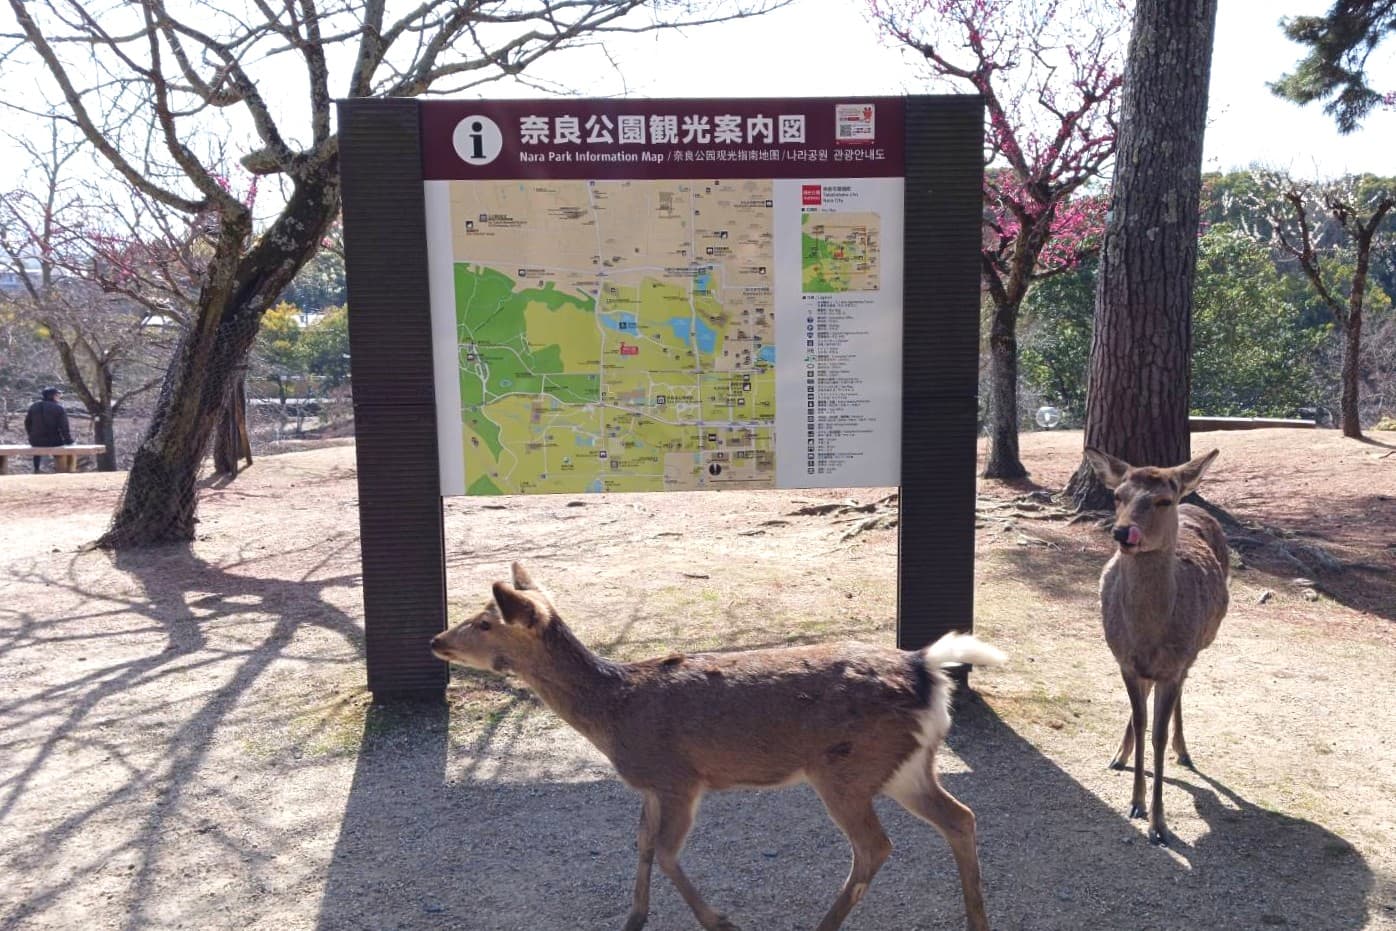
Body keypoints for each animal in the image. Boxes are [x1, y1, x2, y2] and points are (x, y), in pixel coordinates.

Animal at [430, 563, 1005, 931]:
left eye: (485, 621)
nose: (437, 640)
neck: (614, 713)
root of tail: (927, 669)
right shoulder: (651, 786)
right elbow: (642, 844)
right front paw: (634, 918)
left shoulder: (679, 778)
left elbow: (666, 852)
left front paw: (720, 921)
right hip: (905, 766)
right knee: (961, 817)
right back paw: (978, 921)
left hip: (847, 768)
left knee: (874, 846)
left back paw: (824, 925)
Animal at [1083, 447, 1230, 847]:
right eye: (1118, 496)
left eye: (1163, 500)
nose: (1122, 532)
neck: (1148, 634)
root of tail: (1194, 503)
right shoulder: (1125, 662)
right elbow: (1141, 720)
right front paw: (1135, 803)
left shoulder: (1174, 666)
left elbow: (1159, 737)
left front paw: (1159, 823)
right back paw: (1119, 754)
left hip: (1198, 647)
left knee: (1182, 692)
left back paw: (1185, 750)